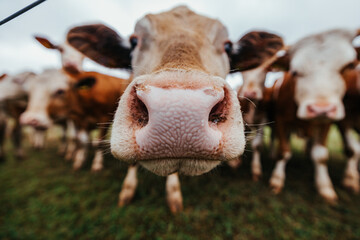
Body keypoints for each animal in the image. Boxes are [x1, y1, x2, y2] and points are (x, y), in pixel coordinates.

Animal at [264, 28, 360, 202]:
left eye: (349, 66)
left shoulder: (326, 123)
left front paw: (325, 187)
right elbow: (284, 151)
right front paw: (276, 180)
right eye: (294, 71)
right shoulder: (281, 121)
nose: (321, 109)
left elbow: (321, 155)